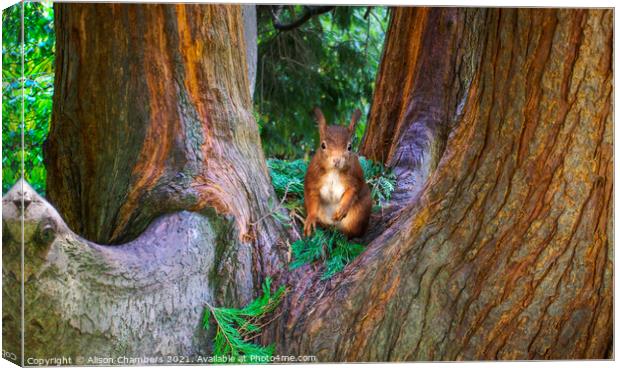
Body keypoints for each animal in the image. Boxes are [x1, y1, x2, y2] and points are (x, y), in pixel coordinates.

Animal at [302, 107, 370, 239]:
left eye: (350, 147)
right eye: (323, 145)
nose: (337, 160)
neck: (334, 171)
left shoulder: (355, 177)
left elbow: (353, 191)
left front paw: (342, 209)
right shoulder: (313, 178)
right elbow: (312, 198)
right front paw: (310, 219)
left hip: (359, 213)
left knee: (352, 231)